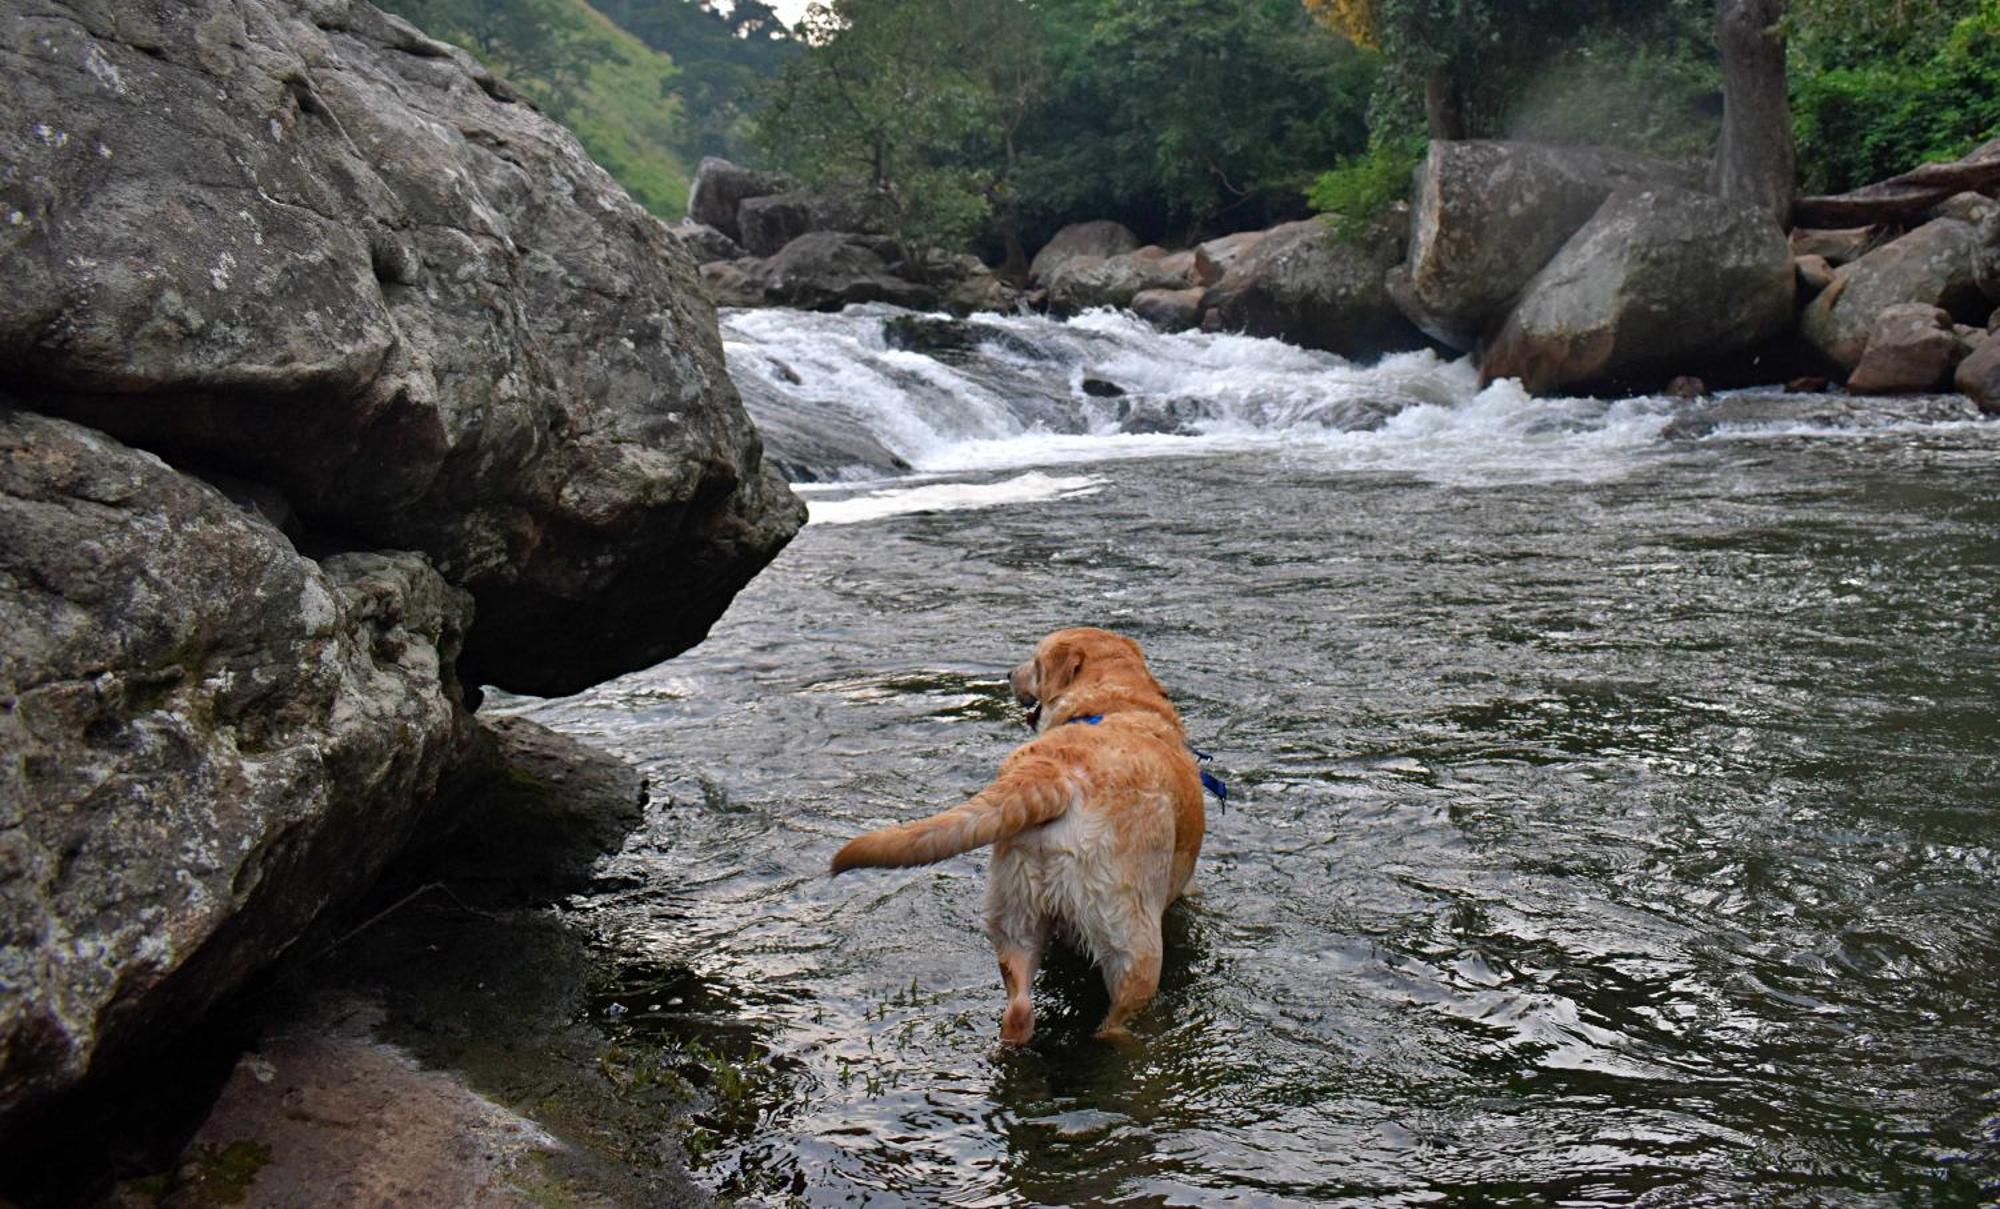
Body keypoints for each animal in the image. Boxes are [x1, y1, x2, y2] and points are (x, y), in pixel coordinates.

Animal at [828, 628, 1200, 1040]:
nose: (1008, 674)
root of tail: (1054, 773)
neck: (1113, 702)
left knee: (1019, 1008)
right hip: (1133, 946)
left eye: (1035, 664)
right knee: (1112, 1022)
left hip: (1015, 913)